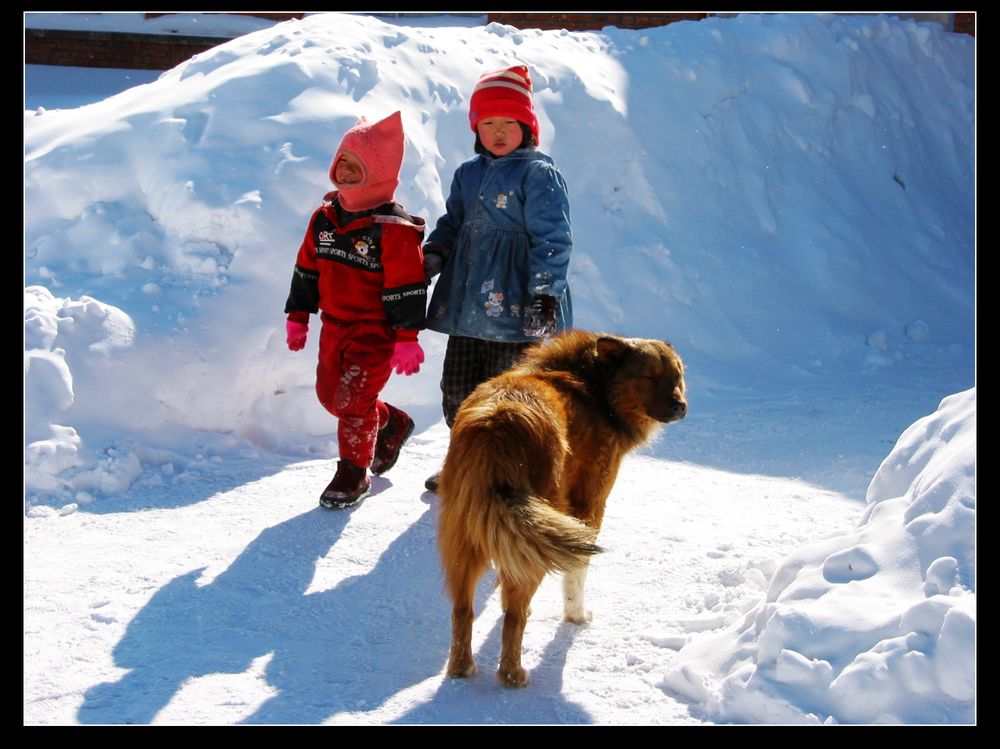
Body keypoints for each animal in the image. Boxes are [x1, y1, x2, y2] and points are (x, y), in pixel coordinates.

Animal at [438, 330, 688, 688]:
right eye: (649, 376)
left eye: (677, 375)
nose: (681, 407)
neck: (596, 384)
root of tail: (496, 424)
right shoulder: (589, 507)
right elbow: (576, 573)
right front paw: (577, 616)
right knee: (513, 620)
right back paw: (513, 675)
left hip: (465, 537)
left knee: (462, 610)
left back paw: (462, 669)